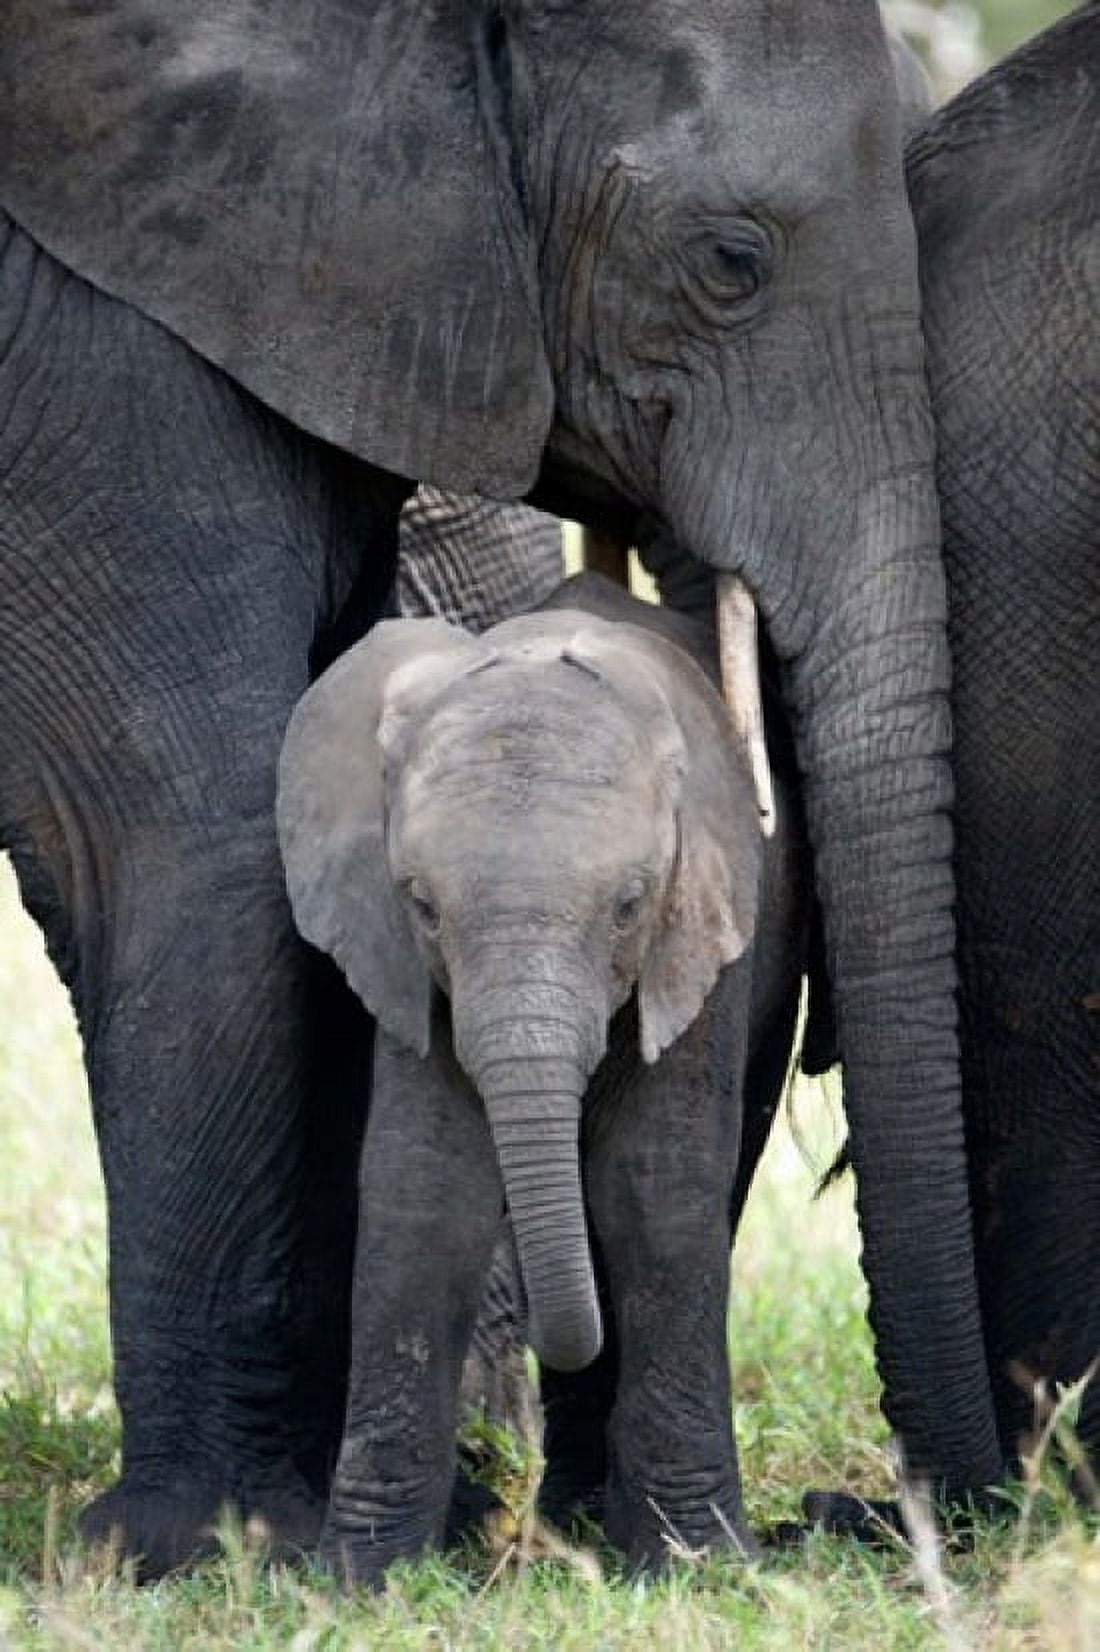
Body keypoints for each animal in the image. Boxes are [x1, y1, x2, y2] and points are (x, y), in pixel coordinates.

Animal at [276, 572, 816, 1580]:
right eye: (421, 905)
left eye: (629, 906)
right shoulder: (405, 967)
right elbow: (427, 1188)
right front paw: (359, 1579)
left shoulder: (706, 925)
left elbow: (656, 1188)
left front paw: (701, 1563)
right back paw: (574, 1519)